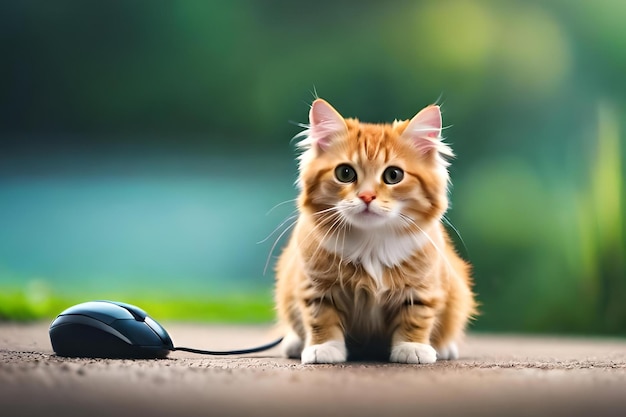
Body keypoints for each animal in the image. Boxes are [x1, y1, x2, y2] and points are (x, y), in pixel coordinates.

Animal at [272, 99, 472, 362]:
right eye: (345, 173)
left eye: (393, 175)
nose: (367, 196)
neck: (371, 243)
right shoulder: (315, 286)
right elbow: (321, 317)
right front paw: (323, 348)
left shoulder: (424, 288)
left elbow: (416, 318)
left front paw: (412, 347)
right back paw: (295, 344)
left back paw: (445, 347)